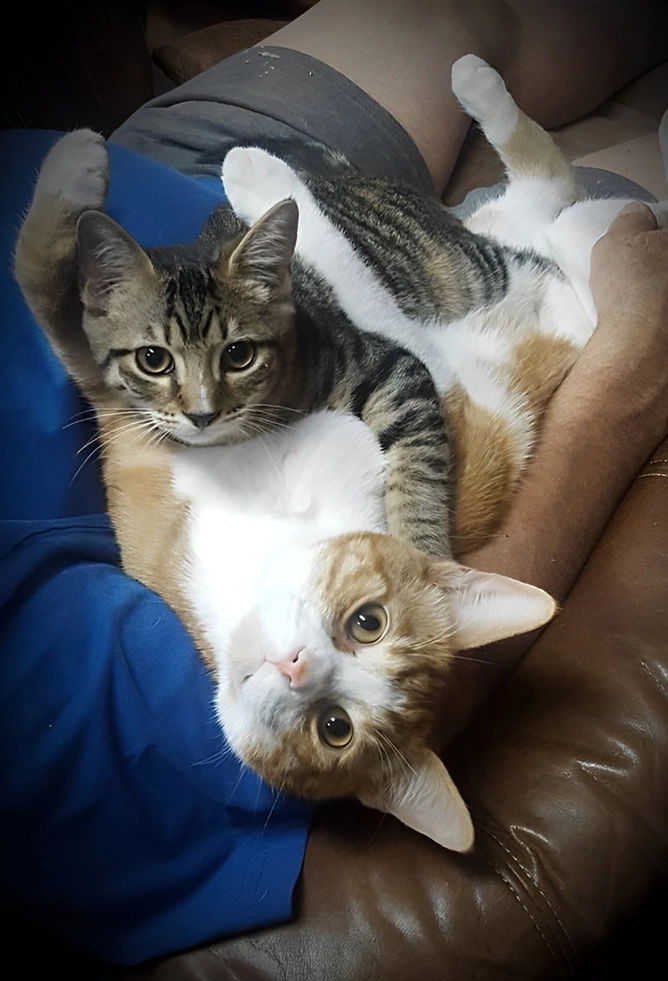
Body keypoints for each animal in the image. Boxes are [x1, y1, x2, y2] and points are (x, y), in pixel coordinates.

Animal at [223, 55, 668, 552]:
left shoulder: (438, 389)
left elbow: (350, 270)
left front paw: (264, 182)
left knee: (557, 185)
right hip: (507, 238)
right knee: (551, 182)